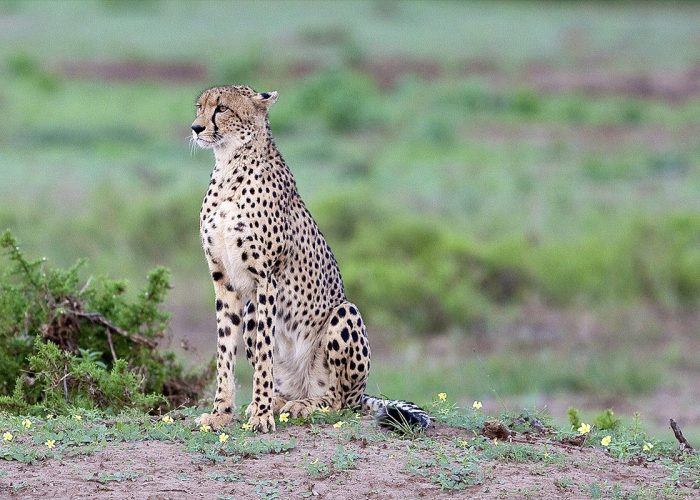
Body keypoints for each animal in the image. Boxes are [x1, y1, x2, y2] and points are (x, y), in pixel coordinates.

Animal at [193, 84, 432, 432]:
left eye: (222, 108)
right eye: (199, 107)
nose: (196, 128)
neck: (228, 166)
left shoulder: (267, 280)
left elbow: (264, 353)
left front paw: (262, 415)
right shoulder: (224, 281)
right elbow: (225, 350)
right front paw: (221, 413)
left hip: (344, 314)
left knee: (340, 401)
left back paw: (302, 405)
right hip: (252, 314)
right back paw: (278, 401)